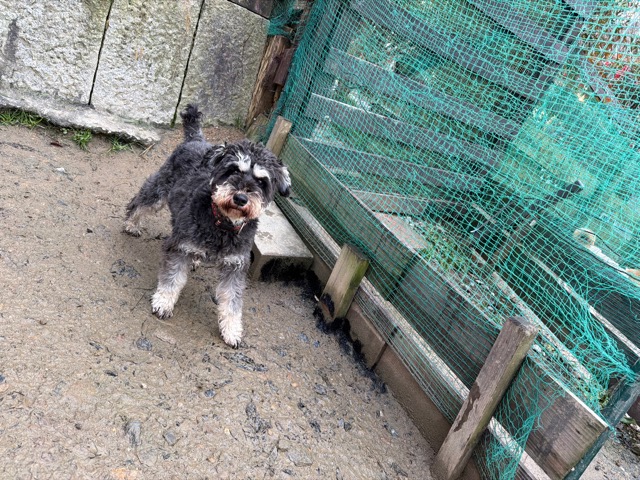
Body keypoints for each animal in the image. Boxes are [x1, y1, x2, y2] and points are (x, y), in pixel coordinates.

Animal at [123, 104, 291, 347]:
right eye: (233, 170)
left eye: (262, 181)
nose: (241, 198)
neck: (222, 224)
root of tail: (196, 139)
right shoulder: (179, 247)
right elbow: (172, 278)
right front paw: (163, 302)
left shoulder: (235, 266)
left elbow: (232, 301)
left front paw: (232, 331)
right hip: (159, 190)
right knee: (141, 202)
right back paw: (131, 224)